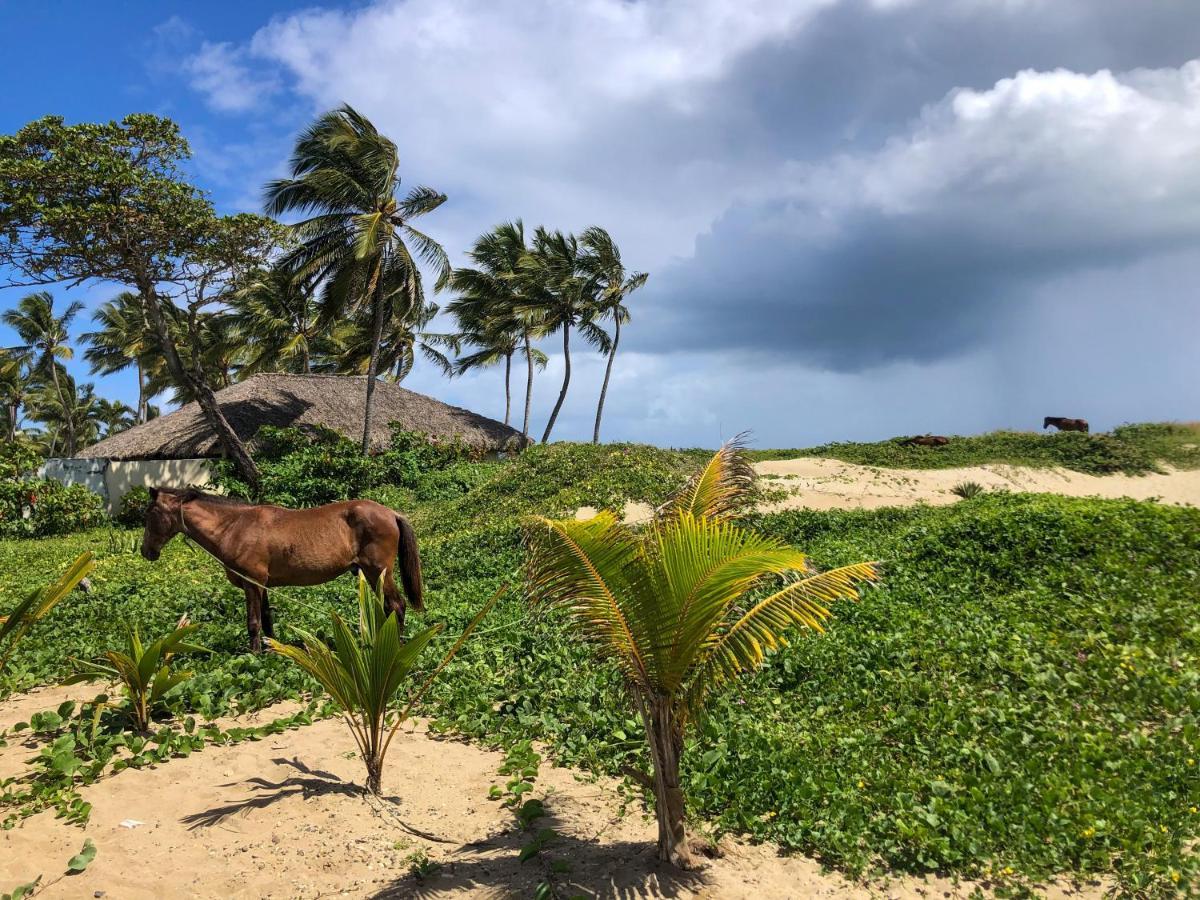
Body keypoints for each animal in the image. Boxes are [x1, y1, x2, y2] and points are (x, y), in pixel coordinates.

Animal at [140, 489, 424, 652]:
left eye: (151, 512)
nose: (146, 551)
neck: (236, 527)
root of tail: (390, 513)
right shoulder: (261, 584)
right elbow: (266, 618)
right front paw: (272, 648)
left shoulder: (251, 583)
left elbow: (253, 621)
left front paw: (254, 654)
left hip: (378, 572)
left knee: (396, 606)